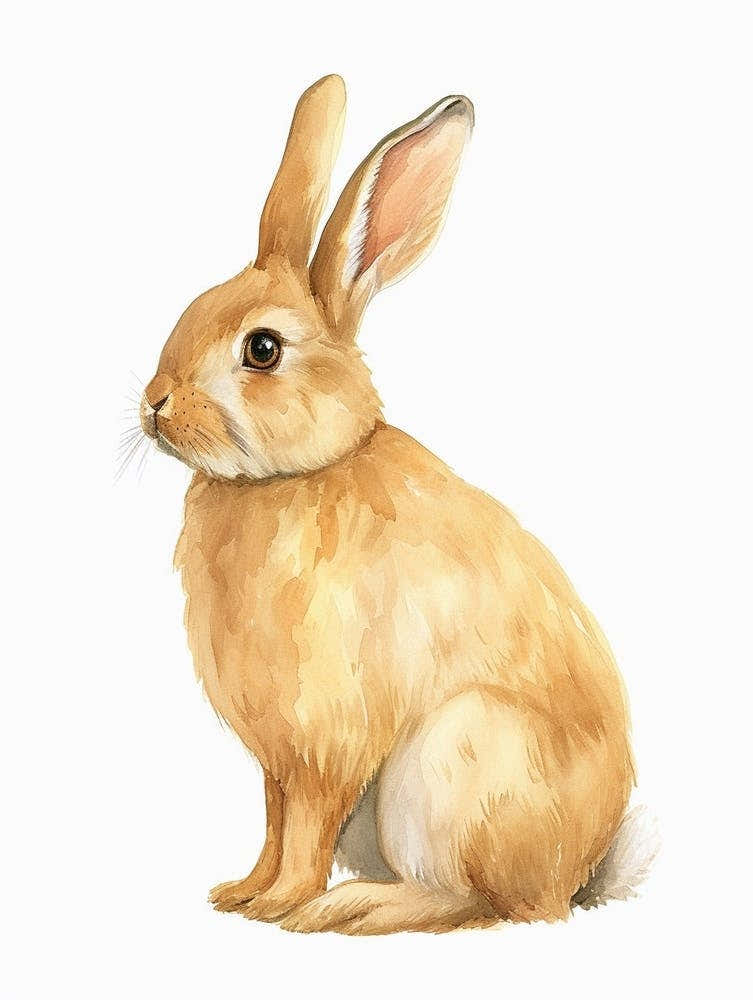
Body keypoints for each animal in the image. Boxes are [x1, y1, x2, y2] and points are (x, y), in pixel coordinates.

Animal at [139, 74, 642, 934]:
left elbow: (306, 830)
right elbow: (273, 821)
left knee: (472, 903)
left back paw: (351, 908)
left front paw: (283, 906)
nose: (154, 404)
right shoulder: (276, 760)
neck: (291, 477)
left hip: (450, 766)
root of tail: (573, 877)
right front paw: (240, 894)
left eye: (262, 349)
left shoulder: (326, 741)